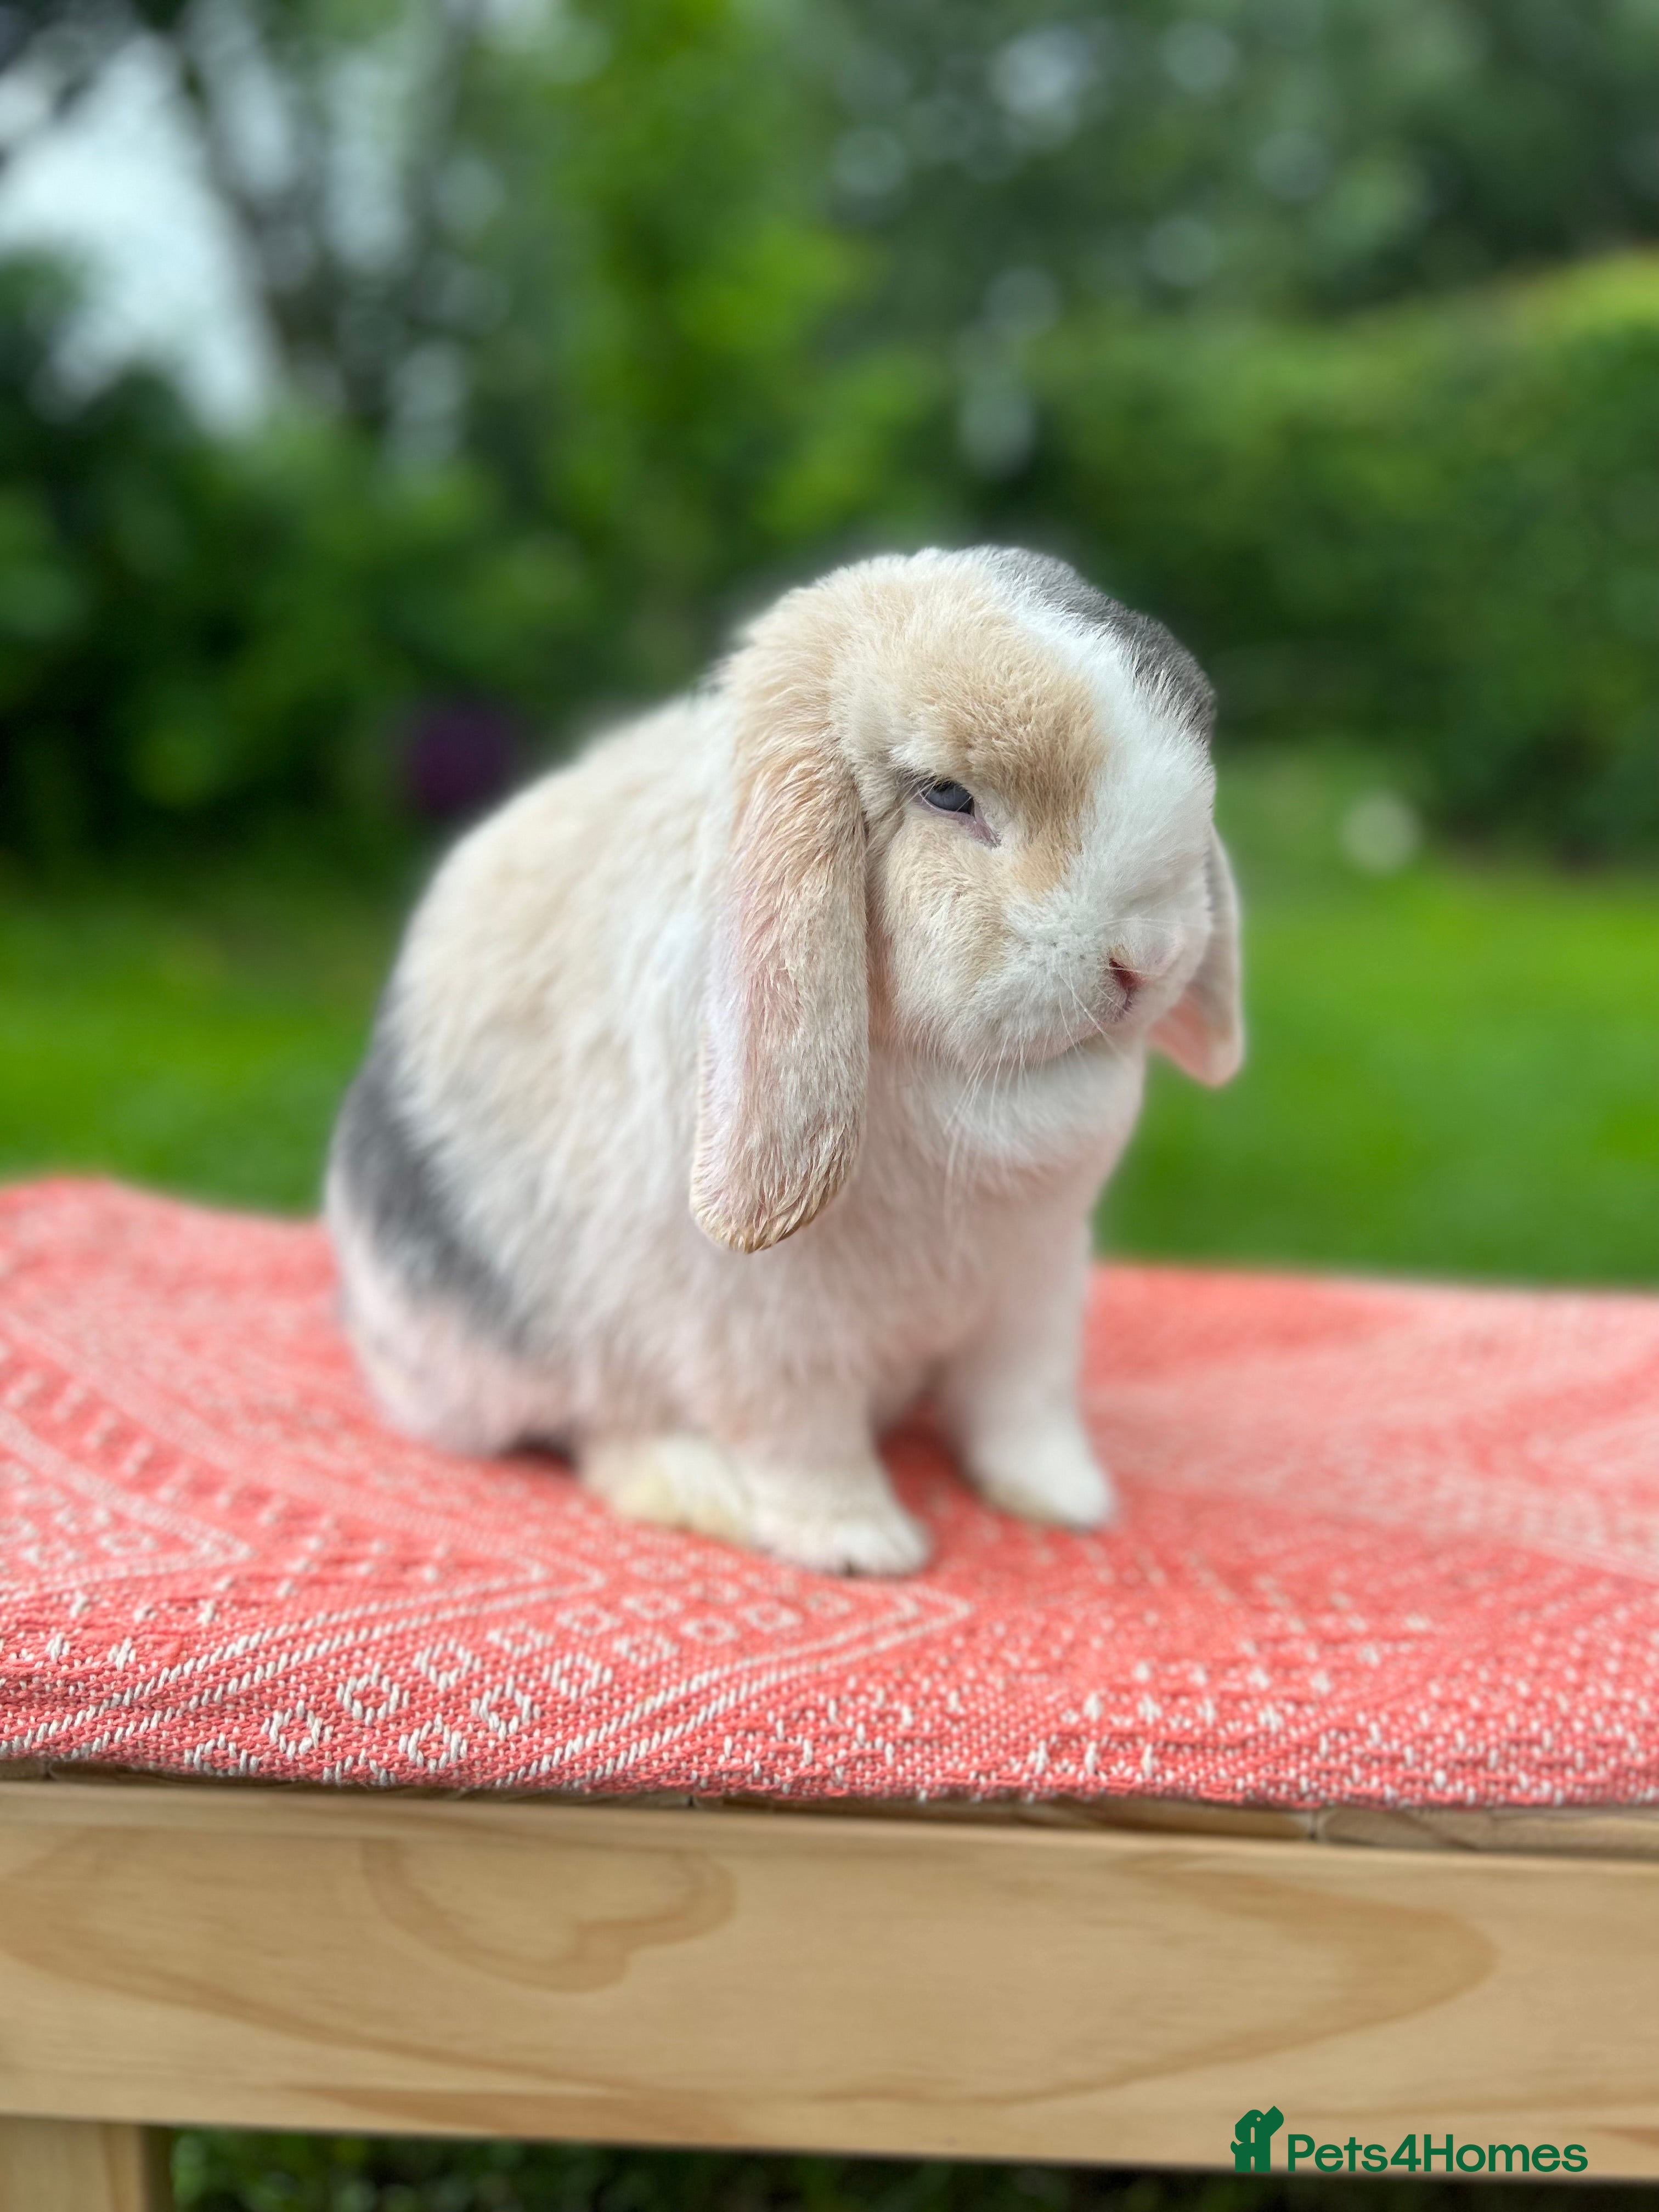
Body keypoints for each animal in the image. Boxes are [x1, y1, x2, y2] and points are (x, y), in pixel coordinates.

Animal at [326, 547, 1243, 1575]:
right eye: (946, 795)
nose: (1146, 959)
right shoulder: (766, 1329)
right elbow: (802, 1437)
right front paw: (860, 1546)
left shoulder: (1035, 1290)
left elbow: (1024, 1408)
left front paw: (1065, 1499)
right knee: (597, 1427)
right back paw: (696, 1489)